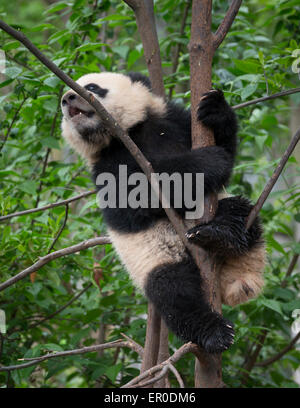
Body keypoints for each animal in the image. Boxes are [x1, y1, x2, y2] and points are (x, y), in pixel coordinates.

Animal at [60, 72, 264, 354]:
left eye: (92, 87)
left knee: (240, 212)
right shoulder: (106, 163)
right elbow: (131, 197)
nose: (67, 99)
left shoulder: (172, 122)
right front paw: (208, 161)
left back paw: (219, 235)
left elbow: (227, 149)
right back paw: (214, 332)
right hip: (153, 259)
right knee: (173, 292)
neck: (128, 133)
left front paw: (215, 109)